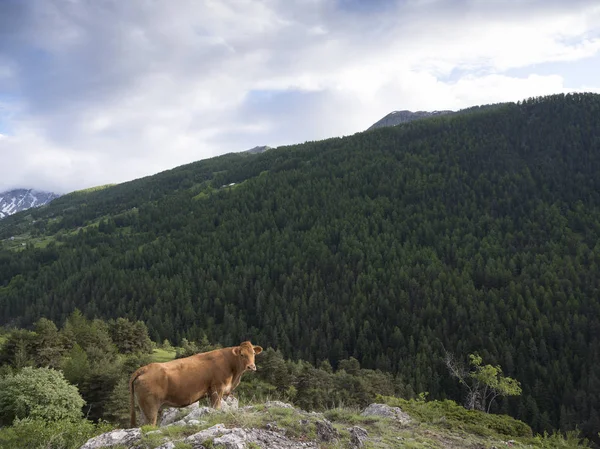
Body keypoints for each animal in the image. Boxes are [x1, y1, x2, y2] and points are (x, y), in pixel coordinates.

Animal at [129, 342, 262, 426]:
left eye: (253, 354)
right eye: (242, 354)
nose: (251, 367)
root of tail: (145, 368)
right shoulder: (217, 390)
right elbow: (216, 408)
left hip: (144, 408)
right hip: (150, 408)